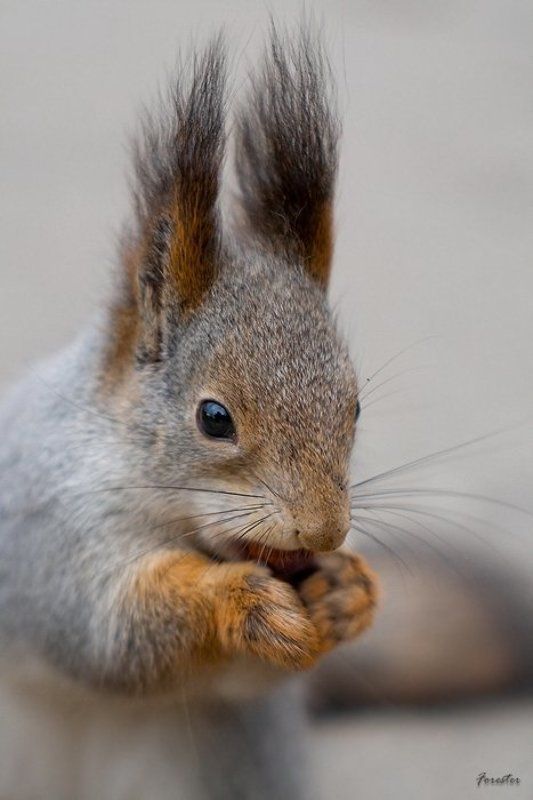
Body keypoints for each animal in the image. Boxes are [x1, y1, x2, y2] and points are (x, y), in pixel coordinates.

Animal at [0, 26, 377, 800]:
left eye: (354, 405)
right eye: (213, 417)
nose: (324, 530)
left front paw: (348, 590)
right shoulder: (49, 539)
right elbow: (112, 632)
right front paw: (235, 602)